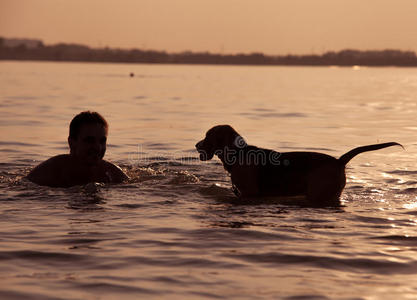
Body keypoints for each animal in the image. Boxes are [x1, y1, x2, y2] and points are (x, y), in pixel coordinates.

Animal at [197, 125, 402, 206]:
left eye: (208, 136)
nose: (196, 145)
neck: (239, 154)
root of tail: (338, 161)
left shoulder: (249, 194)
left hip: (318, 192)